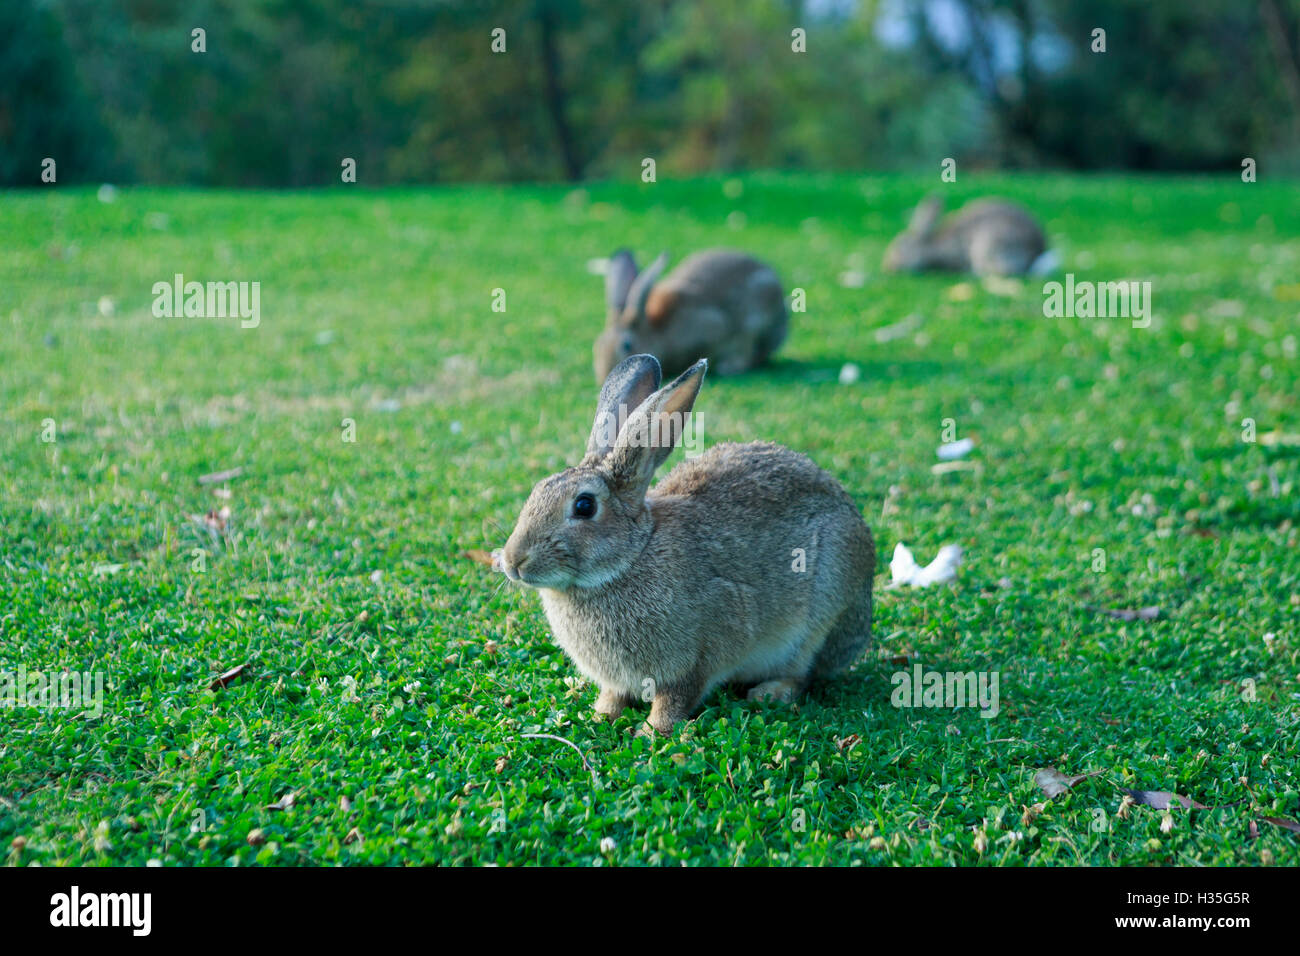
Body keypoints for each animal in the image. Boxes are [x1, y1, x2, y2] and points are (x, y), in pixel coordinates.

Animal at [501, 356, 878, 738]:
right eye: (536, 490)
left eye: (584, 506)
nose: (513, 560)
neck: (629, 558)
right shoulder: (618, 679)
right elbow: (613, 696)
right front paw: (600, 715)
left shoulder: (699, 657)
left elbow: (676, 697)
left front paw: (651, 732)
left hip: (823, 612)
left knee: (803, 672)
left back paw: (769, 692)